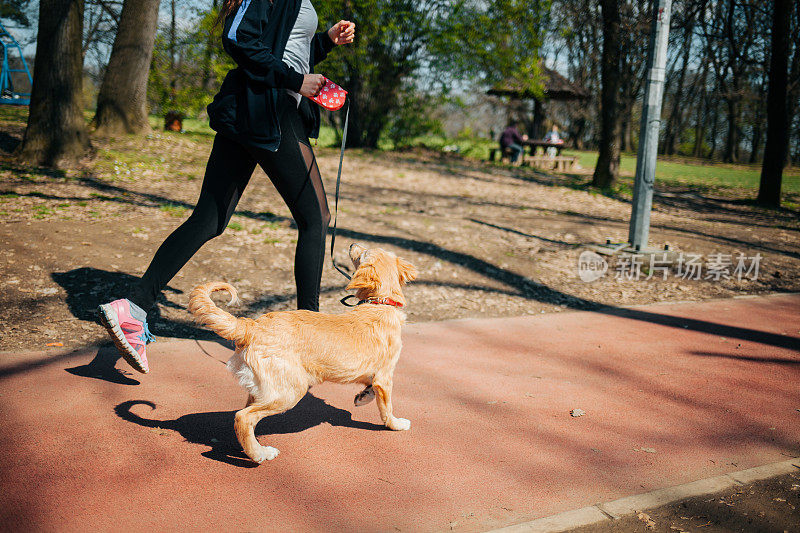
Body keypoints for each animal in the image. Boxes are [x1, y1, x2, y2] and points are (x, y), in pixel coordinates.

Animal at [188, 242, 418, 462]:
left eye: (363, 254)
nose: (352, 245)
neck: (380, 303)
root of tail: (251, 326)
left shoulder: (375, 377)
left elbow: (370, 389)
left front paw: (363, 396)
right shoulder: (385, 377)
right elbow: (386, 408)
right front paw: (395, 424)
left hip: (264, 390)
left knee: (245, 419)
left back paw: (252, 448)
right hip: (290, 391)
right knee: (243, 418)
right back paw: (259, 454)